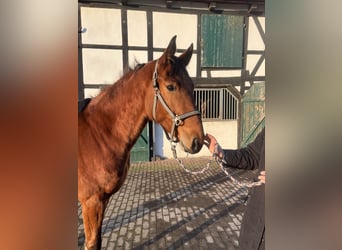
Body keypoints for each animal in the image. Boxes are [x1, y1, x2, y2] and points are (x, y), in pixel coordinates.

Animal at [79, 36, 204, 249]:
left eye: (193, 86)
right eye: (171, 86)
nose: (198, 140)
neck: (97, 135)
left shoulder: (103, 200)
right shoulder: (91, 202)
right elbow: (92, 242)